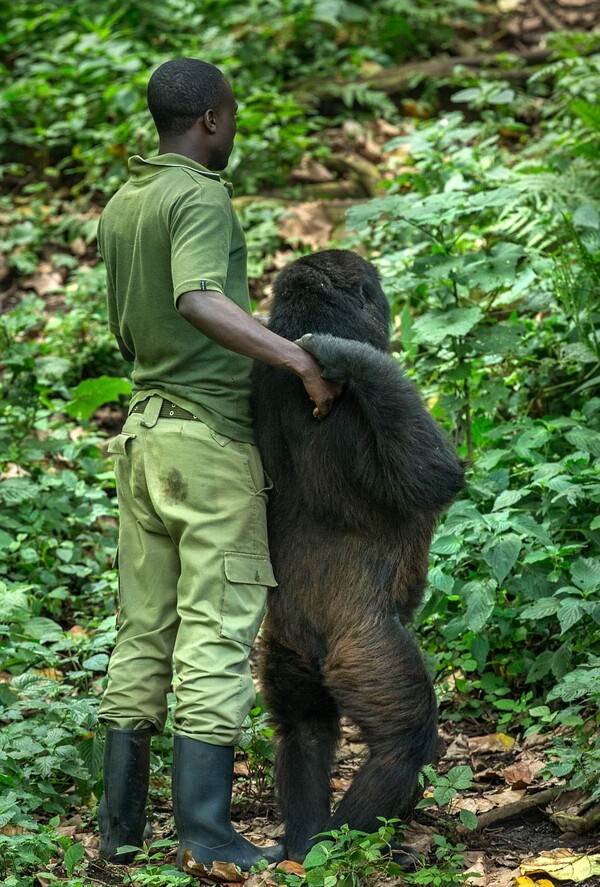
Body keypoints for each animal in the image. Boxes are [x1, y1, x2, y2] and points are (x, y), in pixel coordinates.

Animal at [248, 248, 464, 860]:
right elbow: (434, 475)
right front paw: (352, 358)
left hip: (286, 650)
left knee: (301, 728)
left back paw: (303, 842)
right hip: (367, 653)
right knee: (402, 741)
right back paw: (345, 844)